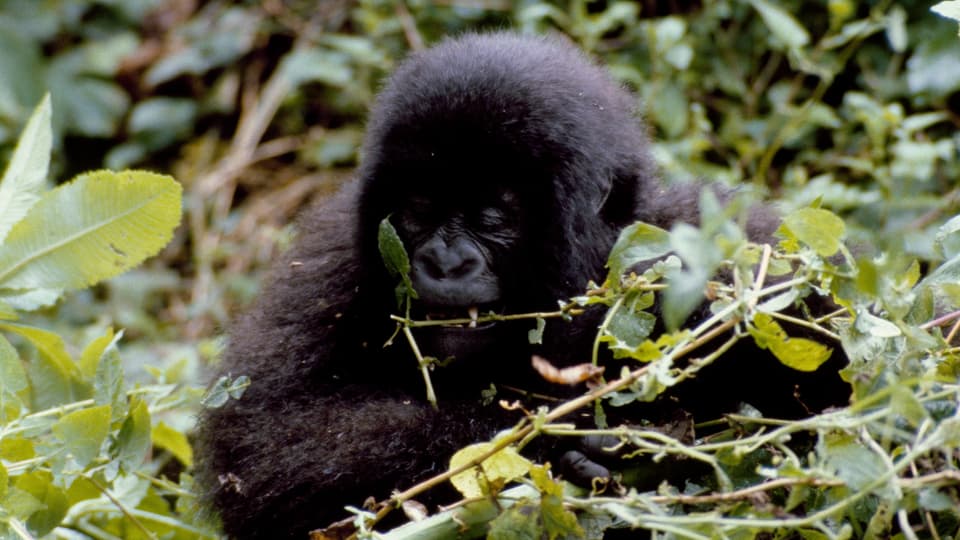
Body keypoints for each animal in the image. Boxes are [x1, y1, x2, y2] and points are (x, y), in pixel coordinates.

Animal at [195, 31, 848, 536]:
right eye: (419, 209)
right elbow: (267, 446)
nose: (446, 263)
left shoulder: (739, 246)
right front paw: (558, 439)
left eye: (492, 217)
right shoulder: (330, 264)